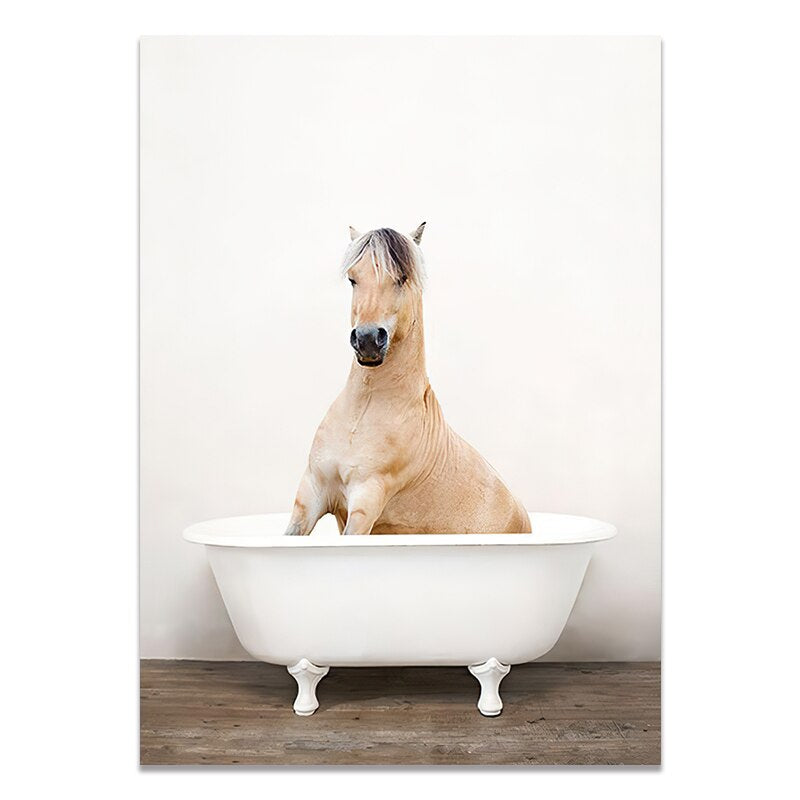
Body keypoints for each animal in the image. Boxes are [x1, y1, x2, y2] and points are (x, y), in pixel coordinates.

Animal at [284, 223, 530, 536]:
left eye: (401, 278)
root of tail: (522, 515)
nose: (367, 340)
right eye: (353, 279)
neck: (362, 412)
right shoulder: (311, 492)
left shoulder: (365, 501)